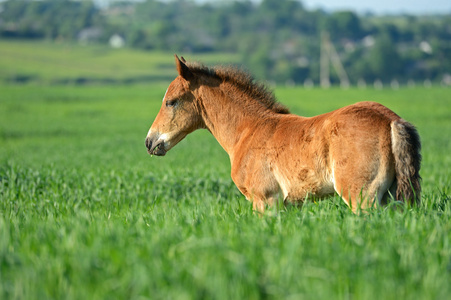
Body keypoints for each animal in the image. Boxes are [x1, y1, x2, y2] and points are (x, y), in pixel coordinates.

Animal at [146, 54, 424, 213]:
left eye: (171, 102)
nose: (150, 141)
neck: (248, 130)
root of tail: (392, 120)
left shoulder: (264, 201)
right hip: (391, 197)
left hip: (361, 197)